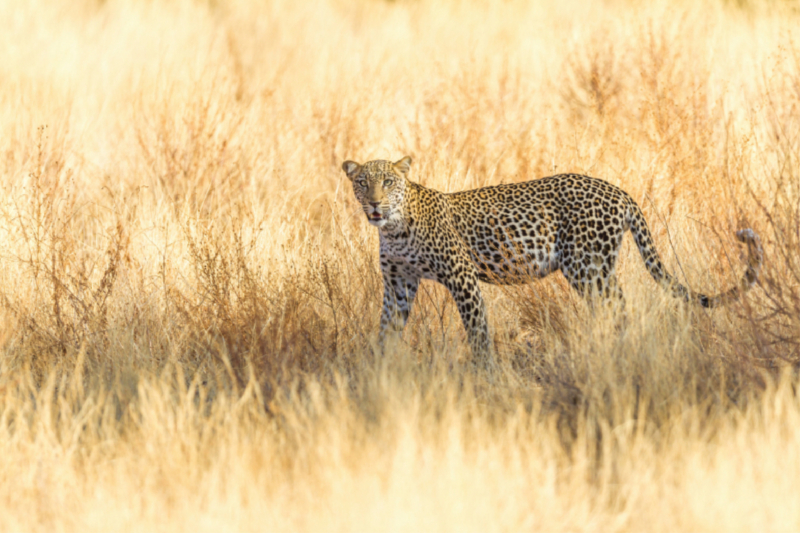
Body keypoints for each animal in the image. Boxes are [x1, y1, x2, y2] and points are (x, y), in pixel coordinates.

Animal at [340, 156, 764, 360]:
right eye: (362, 182)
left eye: (389, 182)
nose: (375, 204)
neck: (393, 229)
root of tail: (620, 192)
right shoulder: (399, 283)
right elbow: (386, 330)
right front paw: (377, 372)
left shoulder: (462, 278)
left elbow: (477, 332)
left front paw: (484, 376)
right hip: (595, 268)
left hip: (586, 266)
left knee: (617, 308)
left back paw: (616, 351)